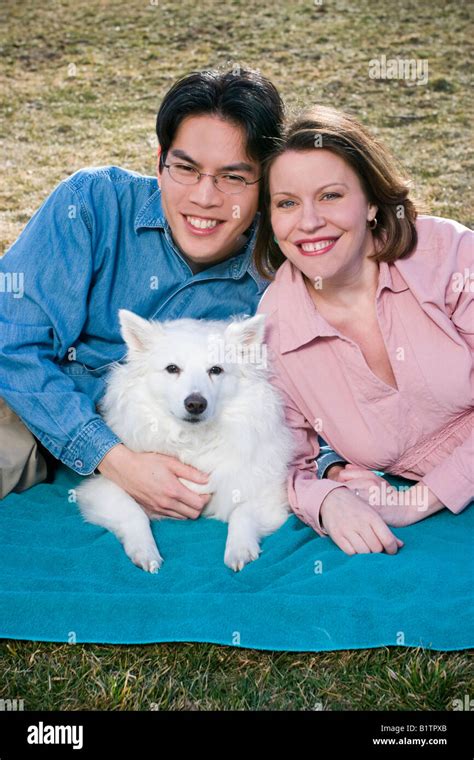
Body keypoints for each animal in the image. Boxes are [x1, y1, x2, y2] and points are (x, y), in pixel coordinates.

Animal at [76, 312, 294, 572]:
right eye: (172, 368)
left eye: (216, 370)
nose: (196, 403)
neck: (193, 438)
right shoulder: (104, 488)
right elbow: (133, 513)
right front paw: (145, 551)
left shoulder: (268, 496)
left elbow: (242, 514)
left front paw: (239, 548)